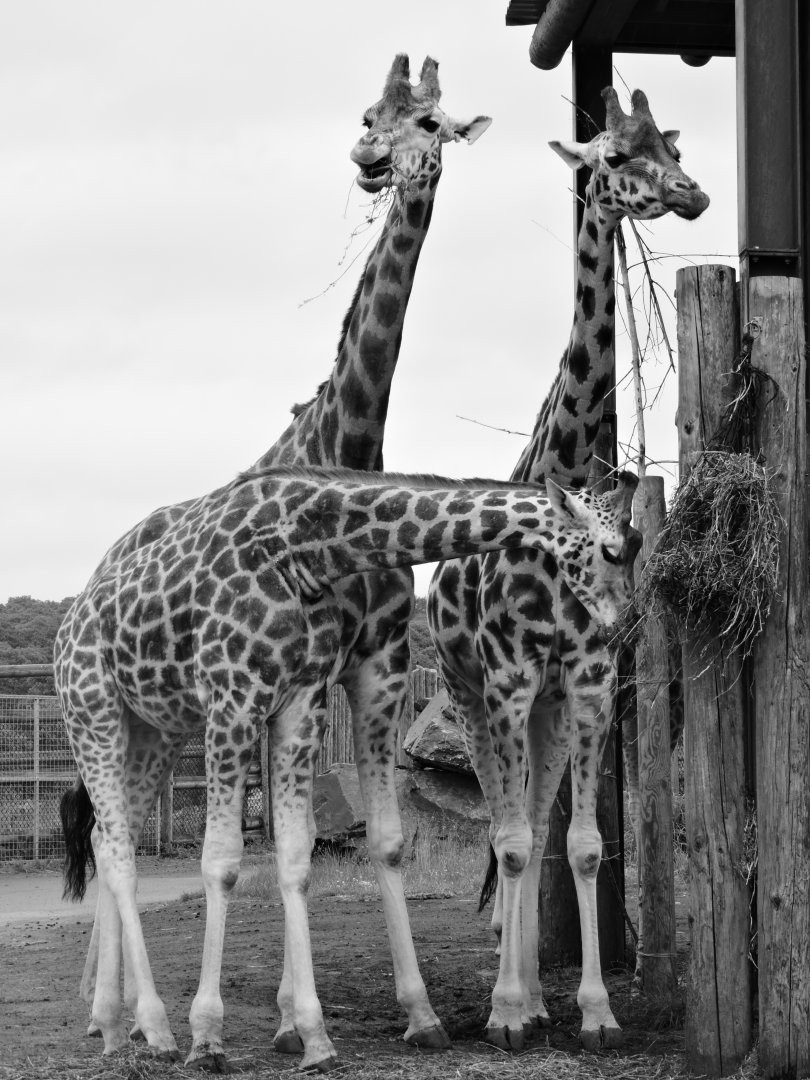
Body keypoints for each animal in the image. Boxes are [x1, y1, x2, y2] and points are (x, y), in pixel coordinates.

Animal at [56, 462, 640, 1071]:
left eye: (638, 545)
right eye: (609, 549)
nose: (617, 626)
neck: (303, 547)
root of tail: (71, 623)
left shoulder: (298, 700)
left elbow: (295, 858)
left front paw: (314, 1036)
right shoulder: (234, 697)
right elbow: (221, 861)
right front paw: (208, 1036)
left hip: (155, 725)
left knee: (108, 835)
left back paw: (115, 1022)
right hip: (92, 708)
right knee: (117, 851)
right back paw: (150, 1026)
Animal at [72, 52, 492, 1055]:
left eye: (432, 121)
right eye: (371, 112)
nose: (375, 162)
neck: (349, 445)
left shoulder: (370, 665)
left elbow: (362, 842)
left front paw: (404, 1013)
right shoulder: (297, 681)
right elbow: (252, 851)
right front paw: (258, 1020)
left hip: (159, 724)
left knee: (118, 835)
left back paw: (122, 1014)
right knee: (111, 839)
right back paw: (120, 1014)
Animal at [427, 87, 709, 1051]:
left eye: (671, 145)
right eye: (616, 155)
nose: (695, 195)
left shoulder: (584, 679)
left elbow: (580, 844)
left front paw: (592, 1011)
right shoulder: (509, 677)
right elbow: (513, 841)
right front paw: (507, 1014)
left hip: (546, 707)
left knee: (538, 818)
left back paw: (538, 996)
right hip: (471, 694)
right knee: (505, 824)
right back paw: (508, 998)